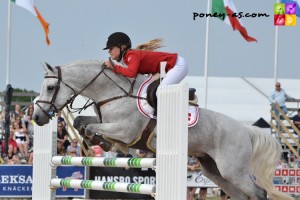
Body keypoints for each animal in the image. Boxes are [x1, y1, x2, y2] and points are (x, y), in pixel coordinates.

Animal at [32, 59, 292, 200]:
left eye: (51, 87)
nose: (37, 117)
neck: (112, 92)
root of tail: (246, 131)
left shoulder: (125, 130)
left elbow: (95, 128)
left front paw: (106, 142)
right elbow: (80, 122)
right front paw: (101, 142)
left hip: (233, 170)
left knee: (258, 193)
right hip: (215, 171)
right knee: (241, 194)